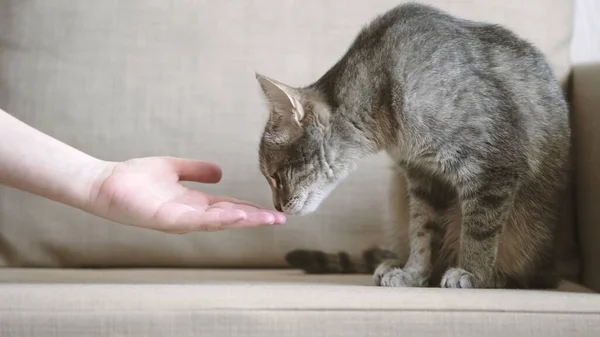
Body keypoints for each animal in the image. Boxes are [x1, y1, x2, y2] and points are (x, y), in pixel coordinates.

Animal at [254, 2, 572, 288]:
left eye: (275, 175)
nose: (278, 206)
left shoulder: (494, 166)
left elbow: (478, 233)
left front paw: (473, 273)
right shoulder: (422, 178)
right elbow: (422, 232)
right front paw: (414, 273)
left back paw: (496, 277)